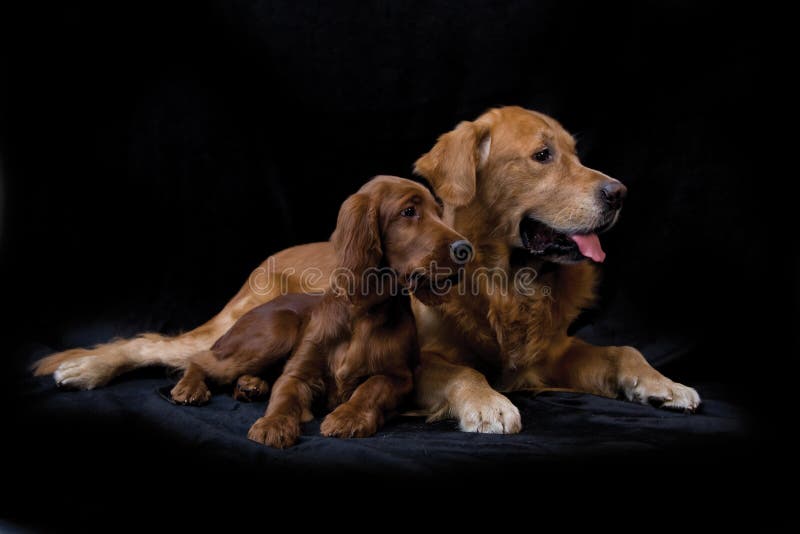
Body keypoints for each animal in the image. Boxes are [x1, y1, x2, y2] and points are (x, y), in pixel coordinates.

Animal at [168, 178, 468, 450]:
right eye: (408, 211)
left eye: (439, 213)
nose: (465, 250)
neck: (364, 313)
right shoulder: (298, 374)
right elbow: (284, 397)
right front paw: (273, 425)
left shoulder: (401, 378)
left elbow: (372, 387)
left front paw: (348, 417)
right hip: (276, 331)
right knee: (202, 359)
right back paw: (191, 389)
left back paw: (250, 385)